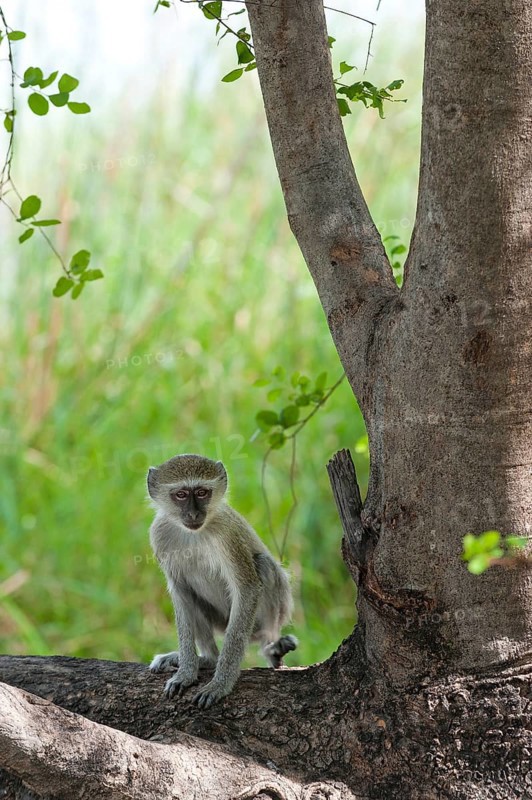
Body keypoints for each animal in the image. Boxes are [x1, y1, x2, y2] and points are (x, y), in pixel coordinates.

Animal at [147, 454, 297, 709]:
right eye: (181, 495)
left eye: (201, 493)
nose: (194, 515)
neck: (194, 533)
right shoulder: (159, 534)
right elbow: (181, 593)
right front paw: (186, 673)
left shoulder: (228, 537)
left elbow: (247, 588)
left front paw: (221, 684)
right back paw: (207, 659)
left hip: (263, 619)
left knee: (263, 566)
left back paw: (271, 649)